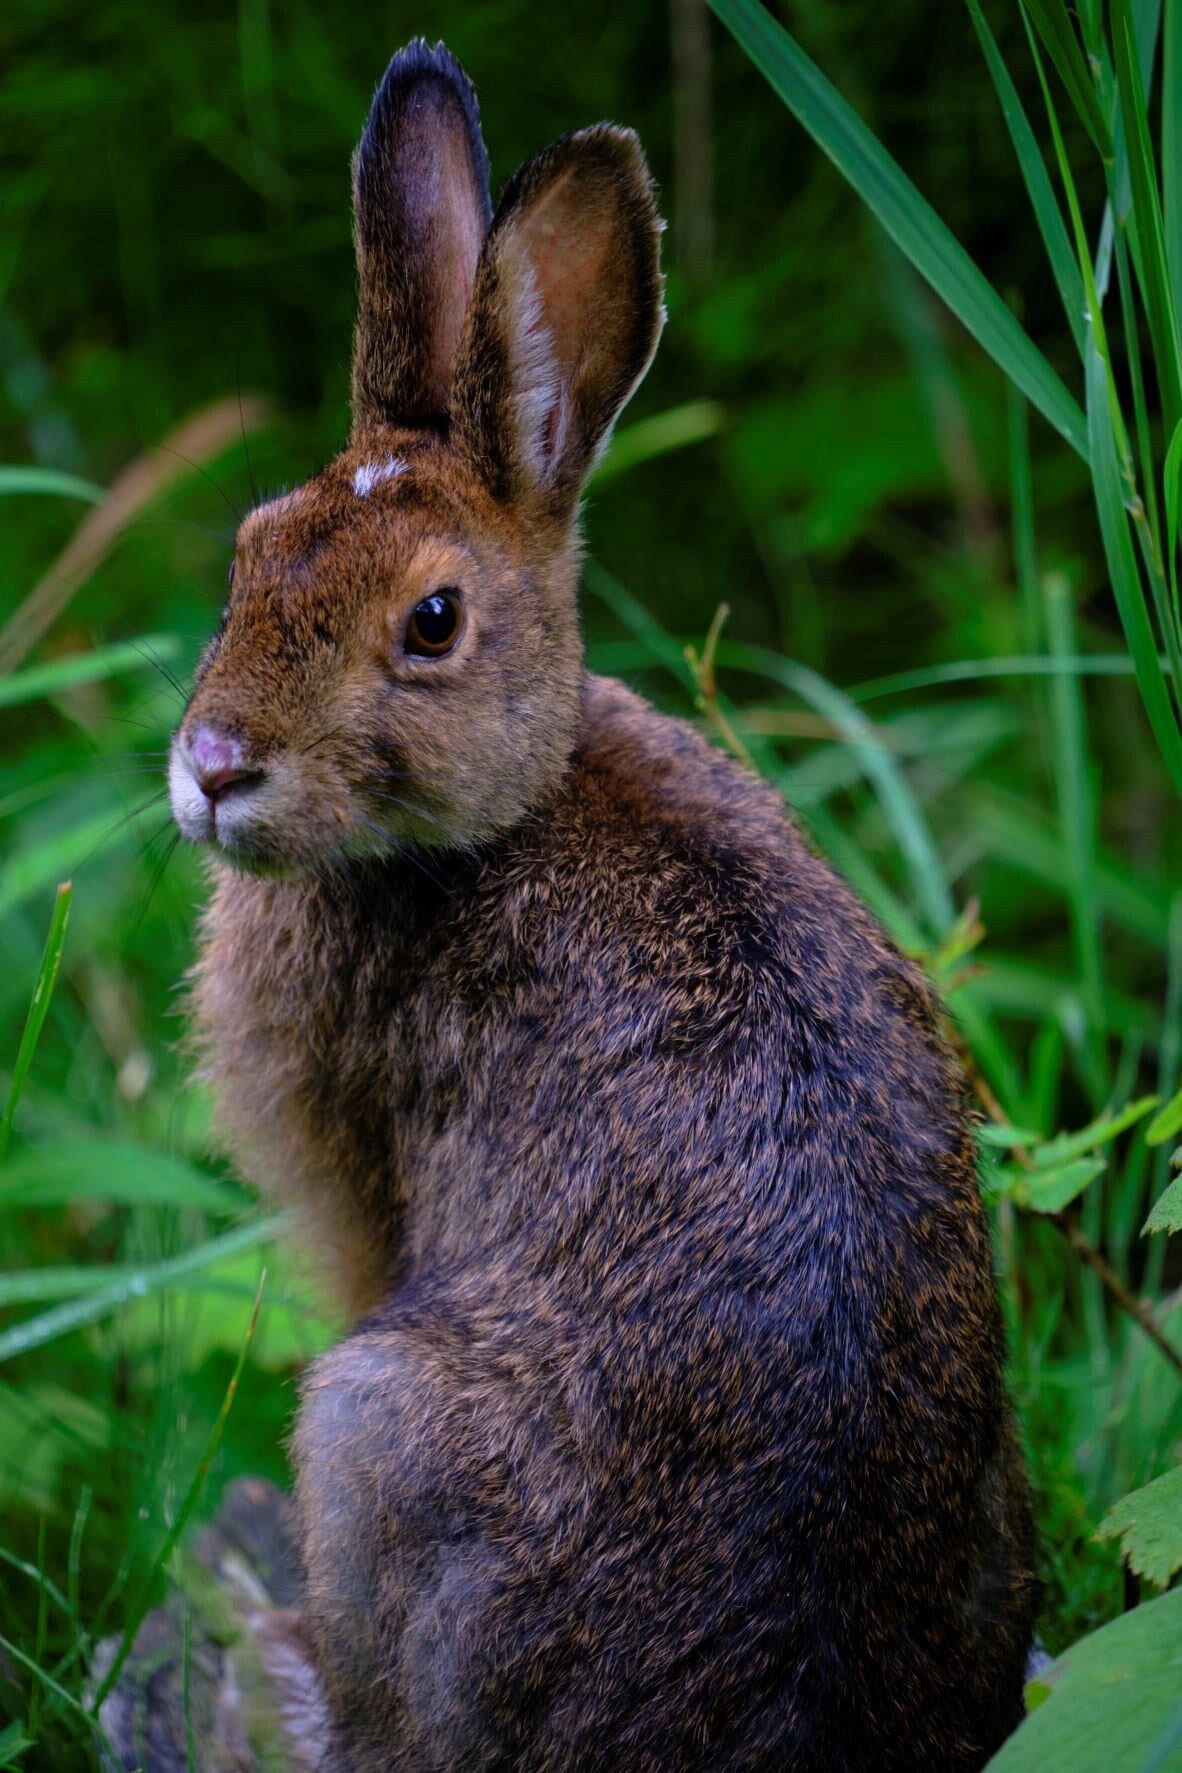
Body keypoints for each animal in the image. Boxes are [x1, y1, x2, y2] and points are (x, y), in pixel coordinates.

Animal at [168, 38, 1037, 1773]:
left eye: (432, 620)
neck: (492, 821)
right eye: (249, 553)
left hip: (364, 1428)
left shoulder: (362, 1199)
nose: (214, 769)